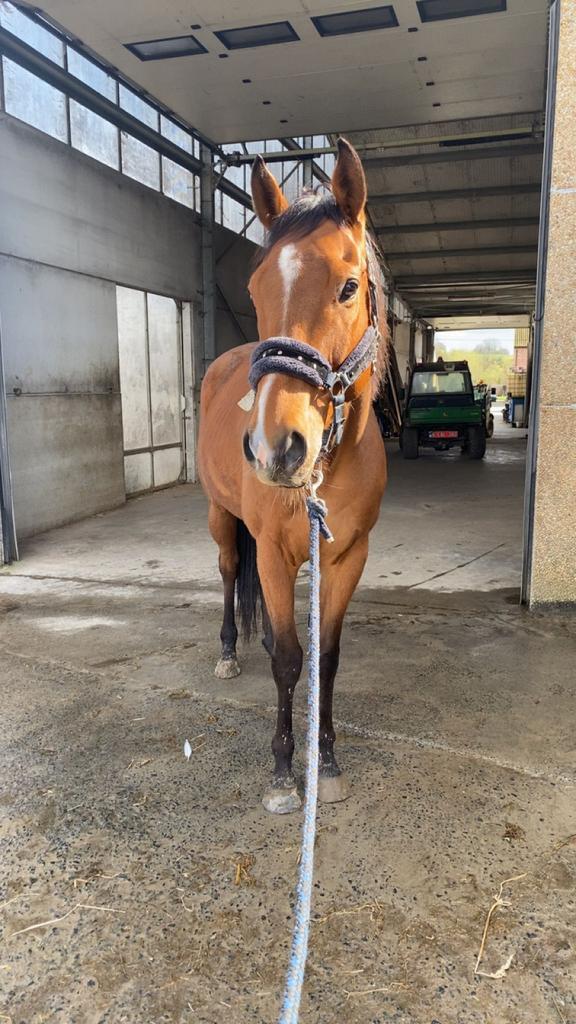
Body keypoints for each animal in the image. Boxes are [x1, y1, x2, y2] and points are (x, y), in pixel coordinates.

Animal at [198, 138, 388, 814]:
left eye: (349, 286)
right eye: (254, 291)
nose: (276, 448)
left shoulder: (347, 556)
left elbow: (324, 657)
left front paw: (325, 761)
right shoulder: (276, 555)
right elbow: (287, 659)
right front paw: (284, 770)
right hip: (221, 518)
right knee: (231, 571)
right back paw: (230, 651)